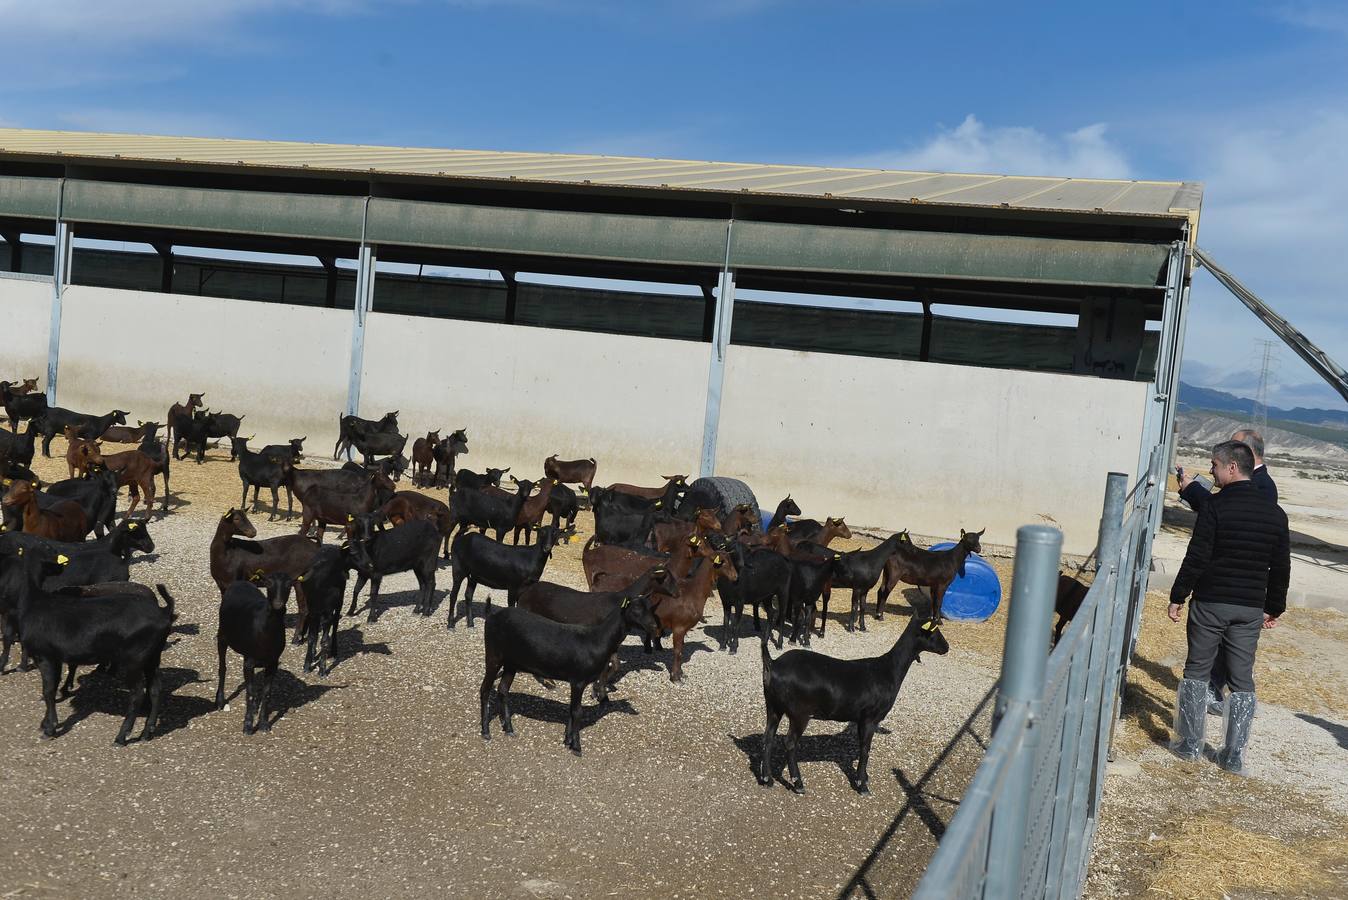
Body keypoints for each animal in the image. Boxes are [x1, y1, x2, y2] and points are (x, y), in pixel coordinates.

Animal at [215, 573, 292, 732]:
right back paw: (220, 701)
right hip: (222, 635)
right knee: (222, 668)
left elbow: (266, 693)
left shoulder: (273, 663)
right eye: (268, 583)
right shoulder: (248, 661)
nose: (278, 604)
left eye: (290, 584)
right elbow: (249, 693)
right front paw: (248, 725)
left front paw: (263, 724)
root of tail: (240, 582)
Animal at [760, 611, 948, 792]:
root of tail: (773, 664)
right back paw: (798, 783)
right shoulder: (870, 717)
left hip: (773, 706)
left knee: (768, 738)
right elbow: (865, 749)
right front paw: (862, 785)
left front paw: (863, 778)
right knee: (790, 743)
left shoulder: (861, 718)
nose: (946, 647)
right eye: (934, 631)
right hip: (799, 713)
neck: (888, 669)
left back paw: (767, 779)